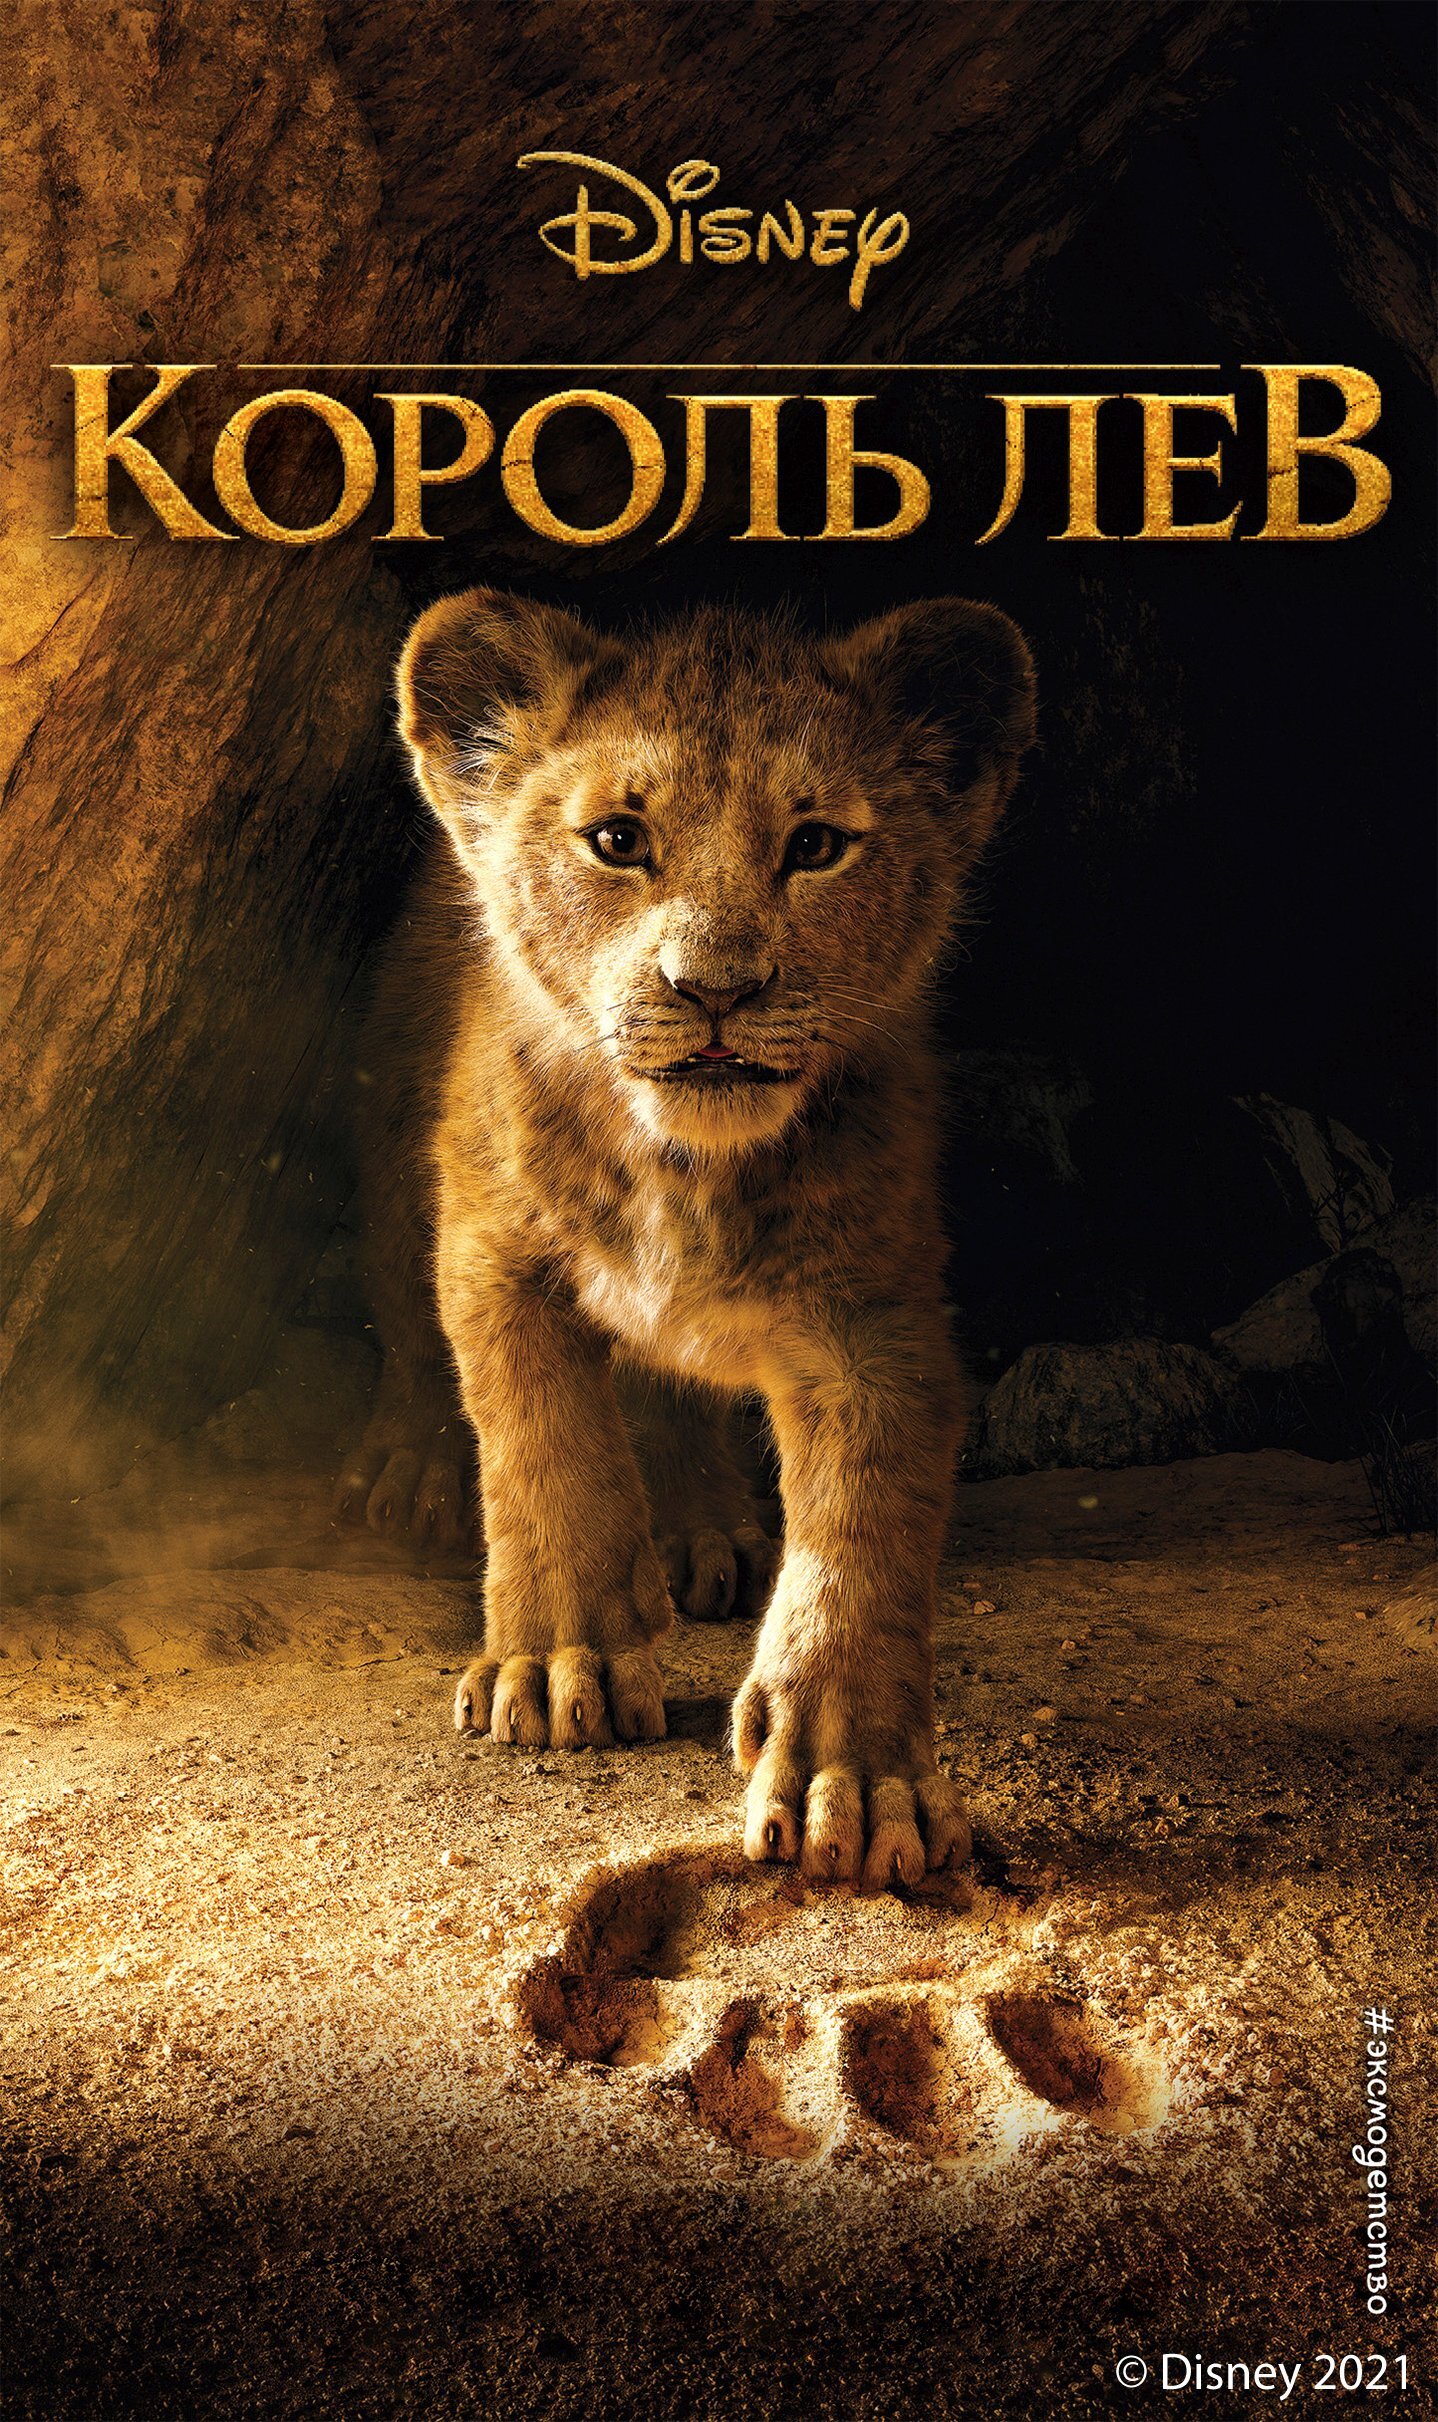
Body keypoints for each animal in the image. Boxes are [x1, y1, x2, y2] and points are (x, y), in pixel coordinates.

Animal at [337, 588, 1035, 1889]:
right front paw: (557, 1664)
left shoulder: (875, 1320)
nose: (714, 988)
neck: (684, 1169)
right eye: (617, 839)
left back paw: (704, 1531)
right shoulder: (494, 1250)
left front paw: (852, 1778)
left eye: (815, 845)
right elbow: (543, 1447)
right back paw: (406, 1470)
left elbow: (862, 1535)